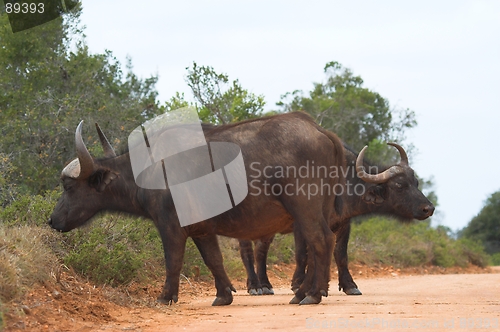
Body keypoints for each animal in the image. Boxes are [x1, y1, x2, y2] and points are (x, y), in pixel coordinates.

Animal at [51, 112, 348, 306]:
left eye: (68, 186)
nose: (52, 219)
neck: (150, 169)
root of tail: (321, 131)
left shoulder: (170, 226)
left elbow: (173, 261)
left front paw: (165, 297)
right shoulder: (202, 230)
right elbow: (213, 259)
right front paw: (223, 295)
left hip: (304, 207)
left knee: (321, 240)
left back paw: (312, 294)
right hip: (319, 210)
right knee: (317, 245)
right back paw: (303, 293)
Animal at [237, 141, 434, 302]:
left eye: (416, 182)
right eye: (399, 185)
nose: (428, 208)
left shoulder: (344, 223)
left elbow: (339, 254)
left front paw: (347, 285)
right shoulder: (301, 225)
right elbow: (303, 255)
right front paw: (299, 284)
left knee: (261, 250)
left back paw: (265, 285)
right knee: (247, 252)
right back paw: (255, 286)